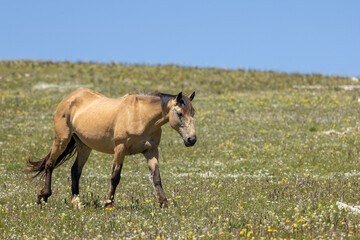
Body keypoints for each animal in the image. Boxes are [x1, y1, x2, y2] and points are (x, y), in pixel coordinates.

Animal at [27, 88, 197, 208]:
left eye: (193, 113)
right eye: (180, 113)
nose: (192, 139)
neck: (141, 116)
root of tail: (69, 97)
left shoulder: (151, 151)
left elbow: (156, 177)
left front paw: (164, 203)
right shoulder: (120, 148)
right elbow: (115, 177)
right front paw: (109, 203)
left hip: (84, 146)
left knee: (75, 171)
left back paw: (76, 202)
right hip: (61, 139)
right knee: (50, 164)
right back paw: (43, 197)